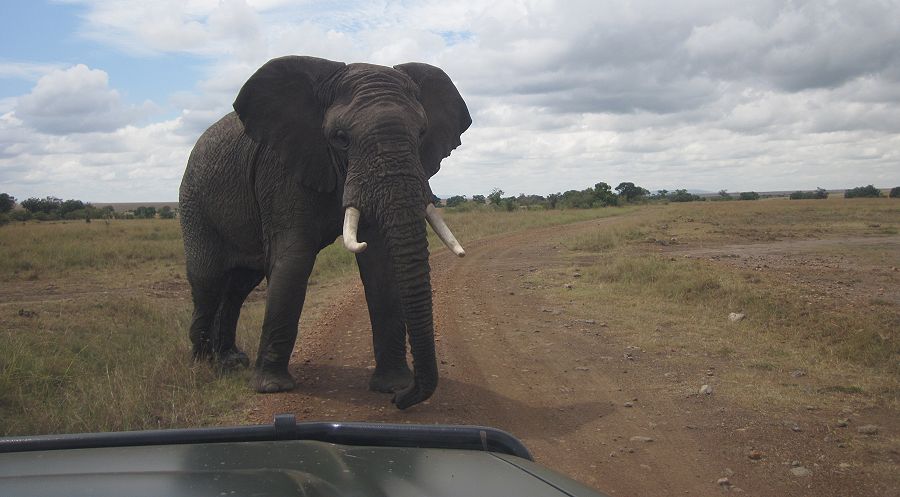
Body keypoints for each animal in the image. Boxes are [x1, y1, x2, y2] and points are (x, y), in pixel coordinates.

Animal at [177, 56, 472, 408]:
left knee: (239, 285)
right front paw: (272, 388)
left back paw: (232, 362)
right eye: (341, 137)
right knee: (207, 281)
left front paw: (392, 385)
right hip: (193, 202)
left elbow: (380, 265)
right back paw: (203, 365)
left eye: (422, 132)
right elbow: (293, 260)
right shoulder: (280, 169)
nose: (402, 400)